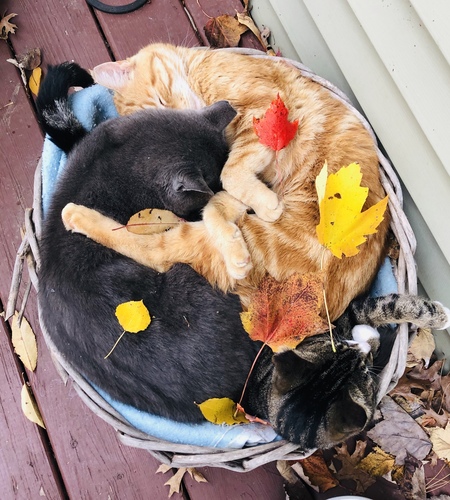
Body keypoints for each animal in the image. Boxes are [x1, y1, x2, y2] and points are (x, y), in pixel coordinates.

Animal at [61, 42, 388, 316]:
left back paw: (75, 214)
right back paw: (75, 215)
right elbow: (222, 192)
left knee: (155, 250)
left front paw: (259, 210)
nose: (189, 118)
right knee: (152, 249)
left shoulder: (263, 113)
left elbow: (229, 175)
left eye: (161, 101)